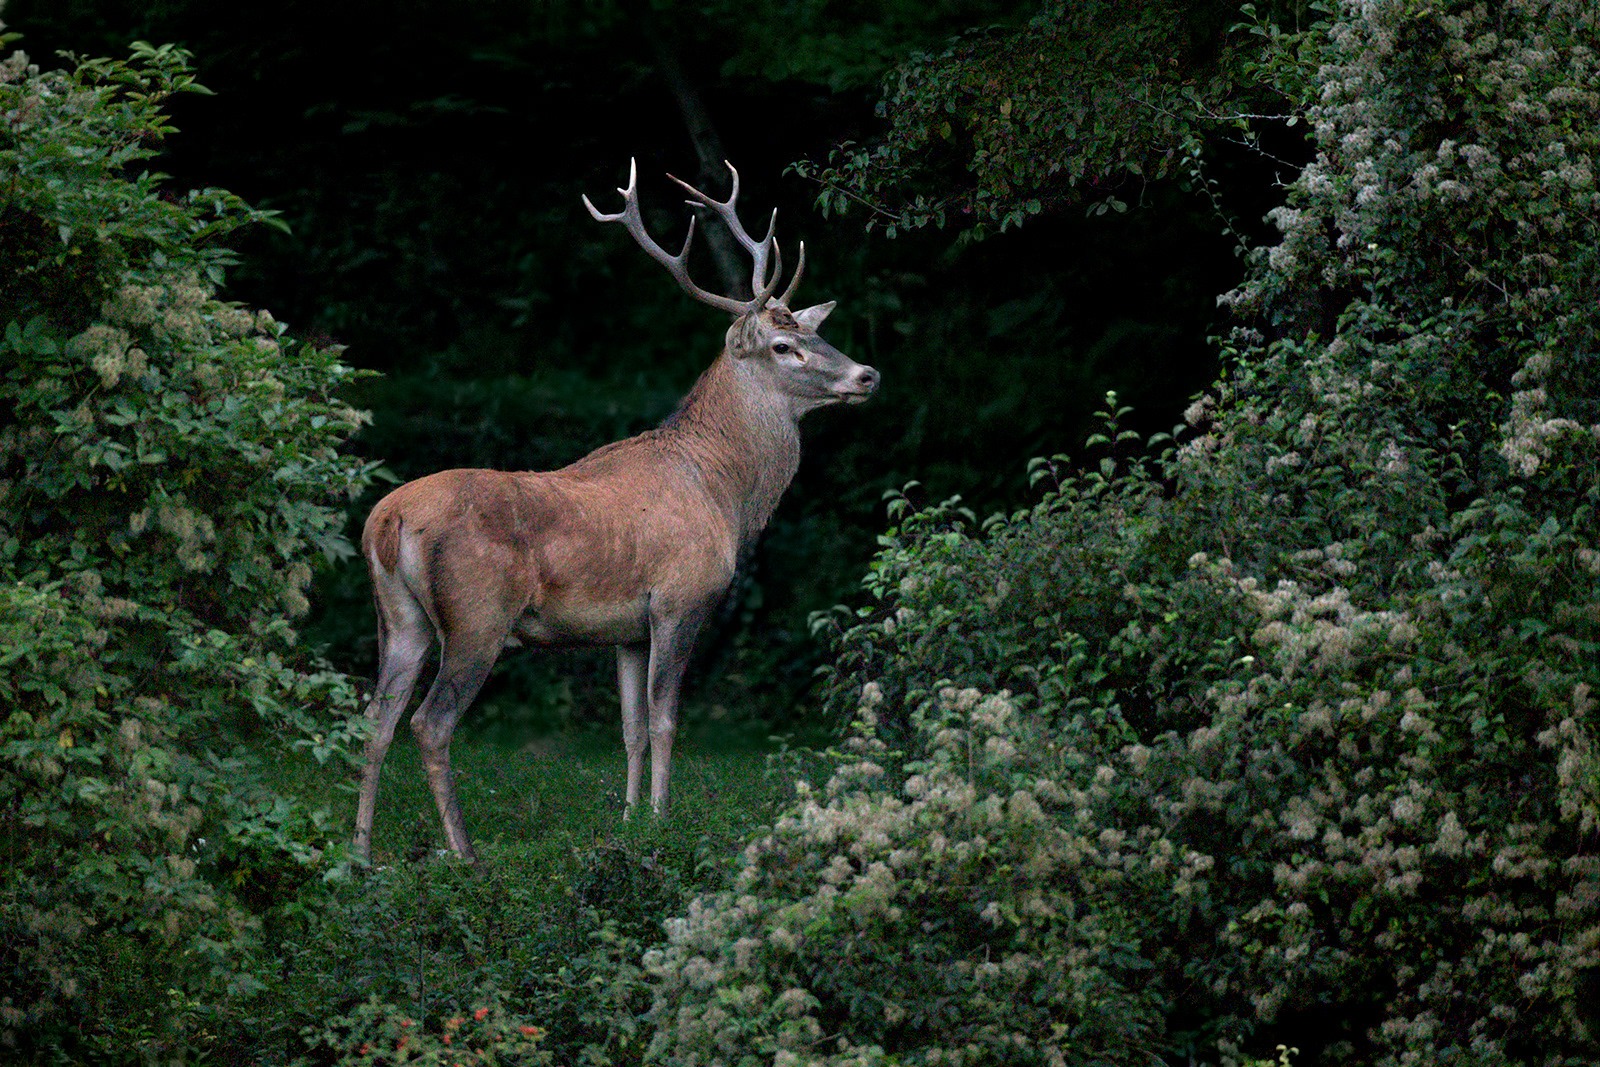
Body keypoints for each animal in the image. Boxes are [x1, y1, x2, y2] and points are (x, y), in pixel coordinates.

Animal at [351, 159, 880, 864]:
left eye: (817, 333)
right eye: (781, 346)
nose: (868, 375)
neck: (724, 493)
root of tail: (387, 521)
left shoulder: (626, 629)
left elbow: (628, 727)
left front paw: (626, 823)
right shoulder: (681, 597)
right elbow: (665, 719)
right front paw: (661, 821)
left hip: (398, 616)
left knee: (375, 720)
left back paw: (360, 853)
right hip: (476, 615)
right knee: (430, 724)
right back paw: (463, 852)